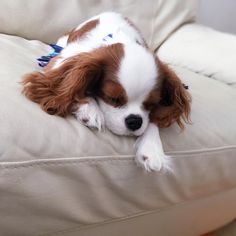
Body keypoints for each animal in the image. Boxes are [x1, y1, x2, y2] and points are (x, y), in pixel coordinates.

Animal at [22, 12, 191, 171]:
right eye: (113, 98)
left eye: (152, 104)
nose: (134, 121)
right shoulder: (67, 60)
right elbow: (72, 83)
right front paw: (89, 109)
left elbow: (154, 119)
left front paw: (152, 148)